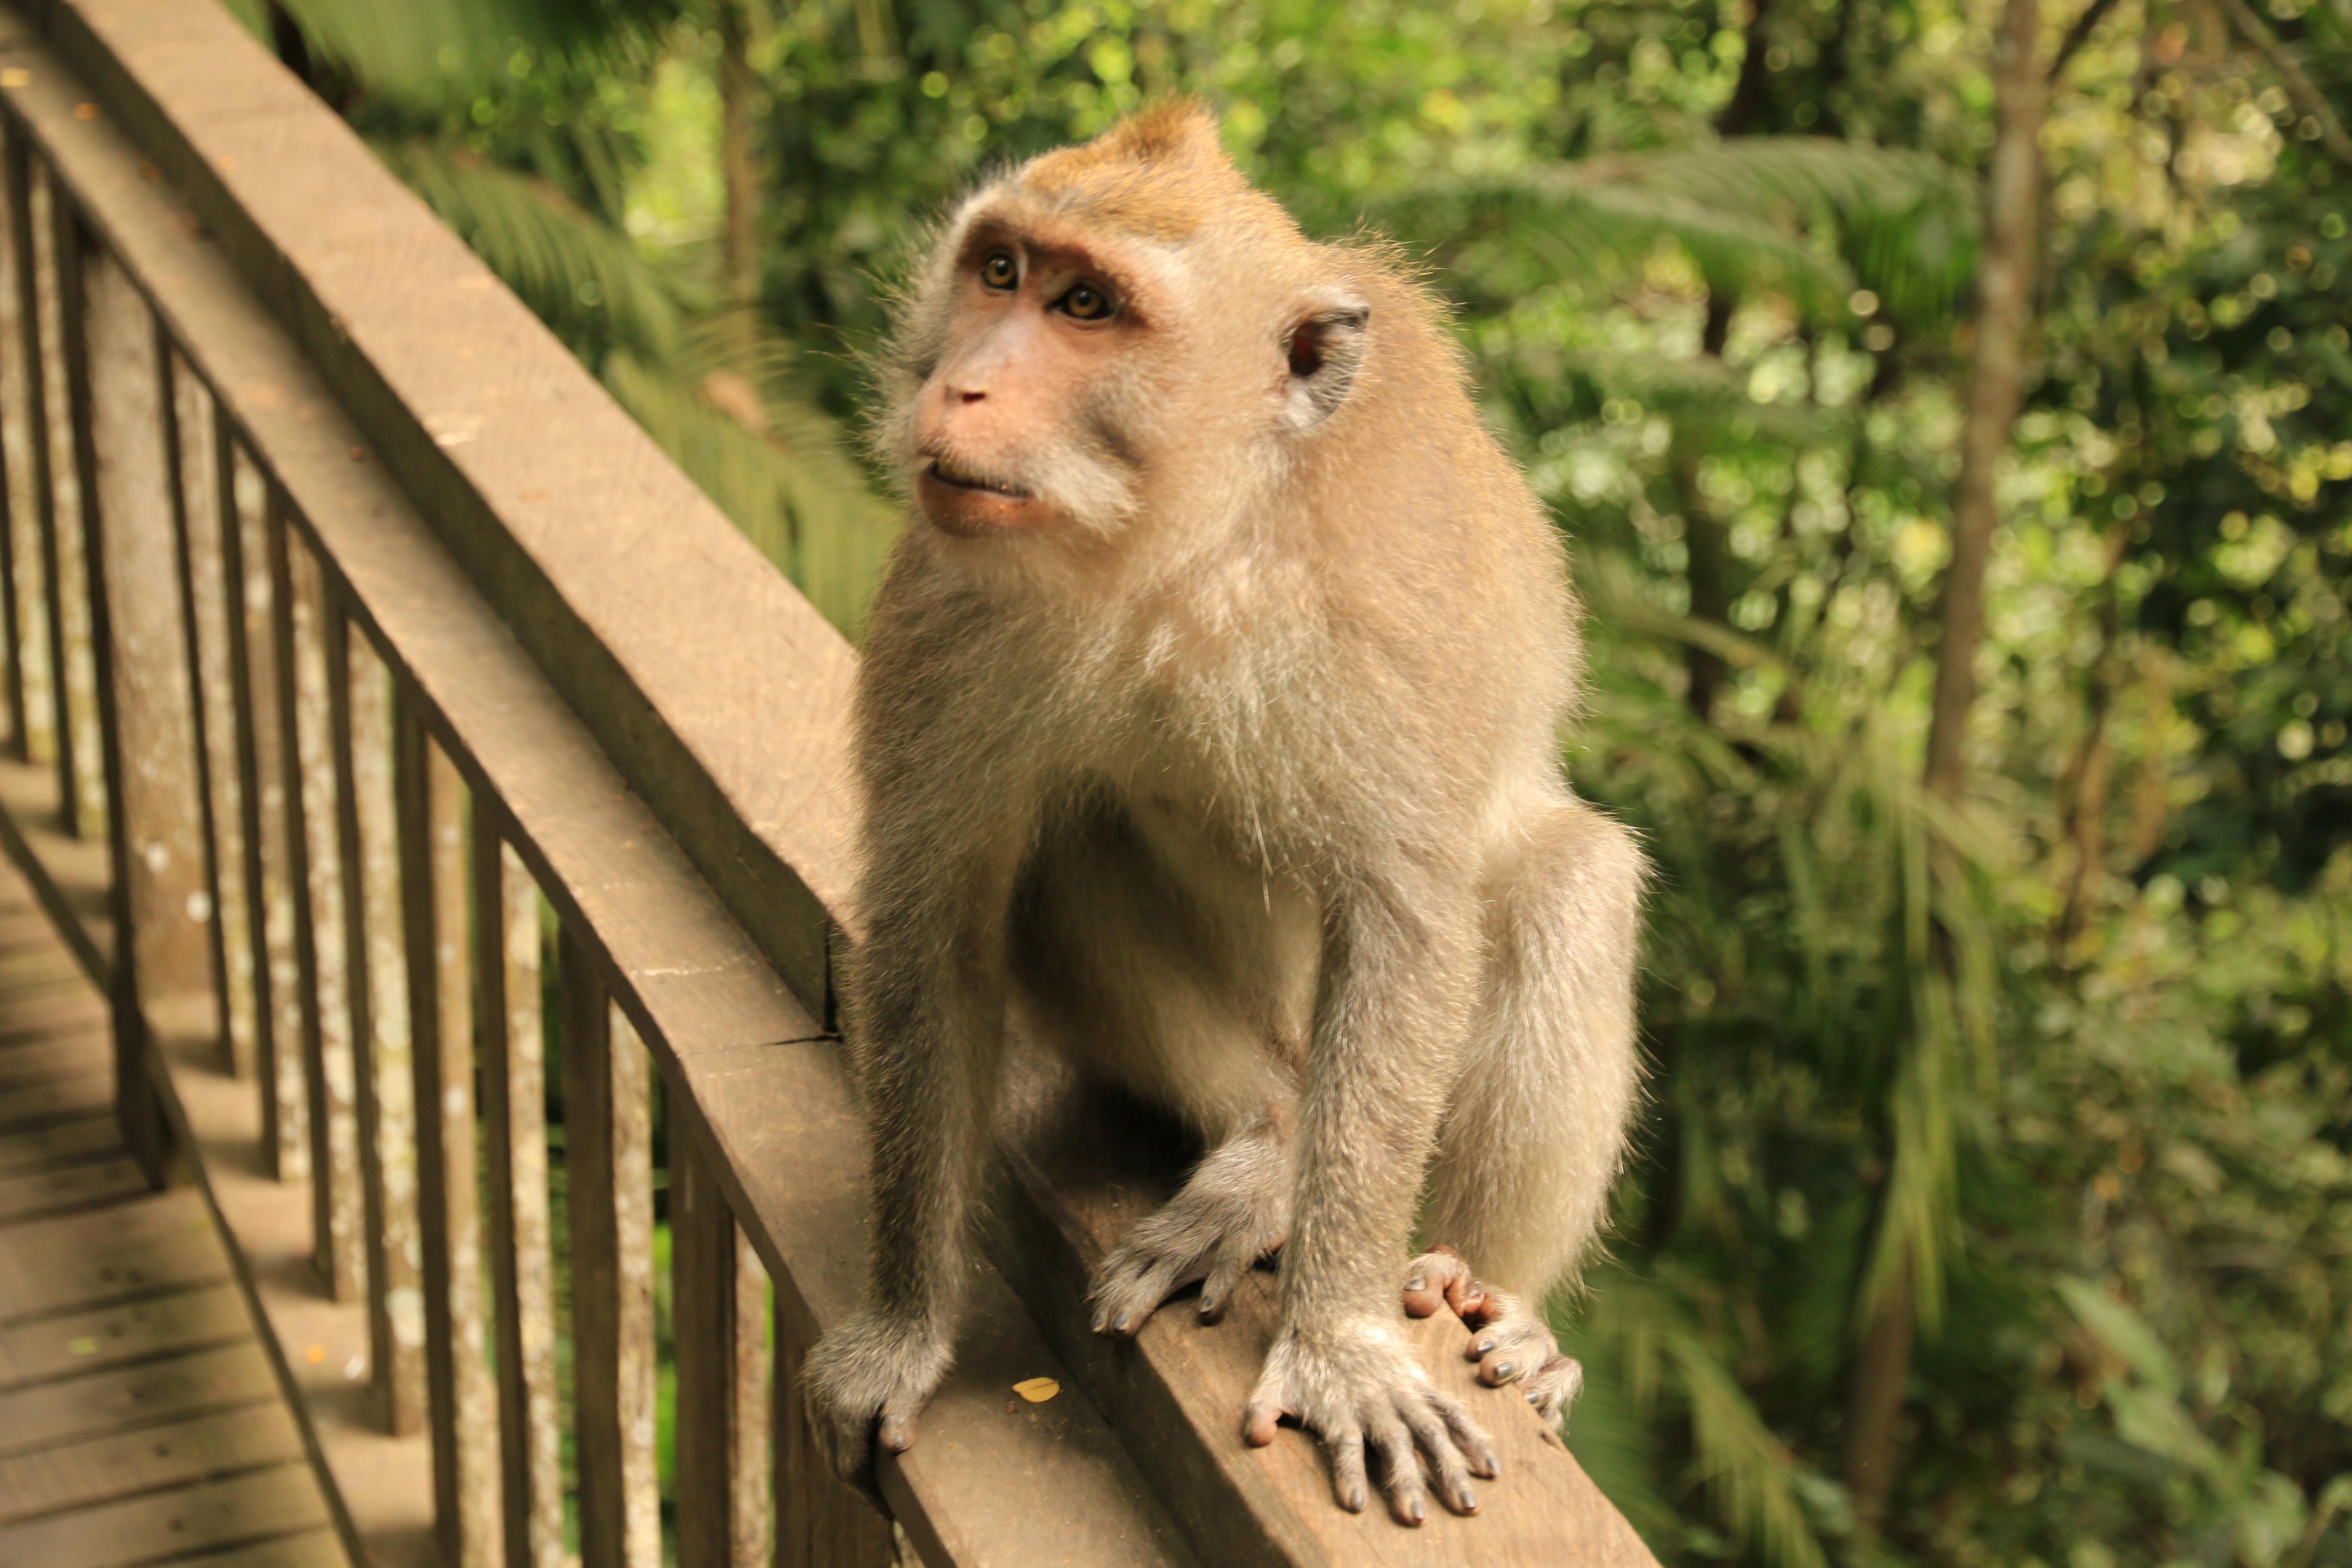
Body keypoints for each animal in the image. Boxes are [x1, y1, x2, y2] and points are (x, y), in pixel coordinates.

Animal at [804, 101, 1645, 1528]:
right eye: (1000, 273)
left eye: (1089, 306)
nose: (960, 388)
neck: (1185, 550)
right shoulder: (946, 606)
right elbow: (936, 925)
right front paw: (902, 1332)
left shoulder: (1376, 608)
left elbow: (1405, 920)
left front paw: (1343, 1342)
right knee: (1069, 843)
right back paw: (1262, 1148)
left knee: (1573, 885)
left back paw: (1494, 1301)